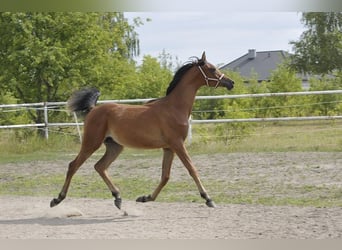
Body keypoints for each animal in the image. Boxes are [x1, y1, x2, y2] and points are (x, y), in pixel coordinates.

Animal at [50, 51, 232, 208]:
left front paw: (145, 198)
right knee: (73, 165)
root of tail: (93, 109)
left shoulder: (169, 148)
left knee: (100, 166)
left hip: (115, 146)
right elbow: (192, 169)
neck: (174, 108)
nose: (231, 82)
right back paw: (57, 199)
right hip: (91, 143)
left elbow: (165, 176)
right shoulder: (177, 144)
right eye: (212, 69)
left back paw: (118, 198)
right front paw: (208, 199)